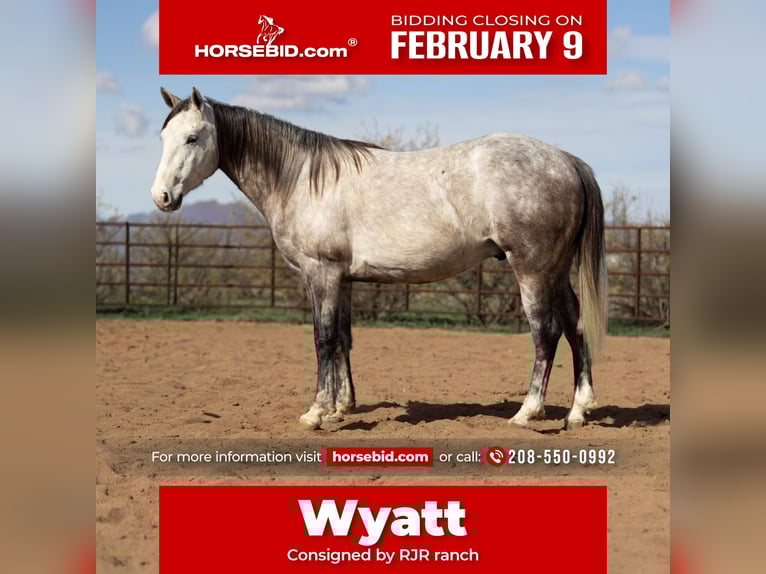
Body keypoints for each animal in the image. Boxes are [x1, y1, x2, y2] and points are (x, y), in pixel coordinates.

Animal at [151, 87, 608, 431]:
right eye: (163, 138)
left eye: (193, 138)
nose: (161, 197)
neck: (303, 179)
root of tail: (567, 160)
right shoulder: (342, 279)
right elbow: (343, 338)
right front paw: (341, 407)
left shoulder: (321, 273)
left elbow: (322, 339)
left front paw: (316, 412)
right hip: (554, 270)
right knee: (575, 325)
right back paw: (577, 412)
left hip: (531, 269)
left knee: (546, 334)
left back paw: (527, 413)